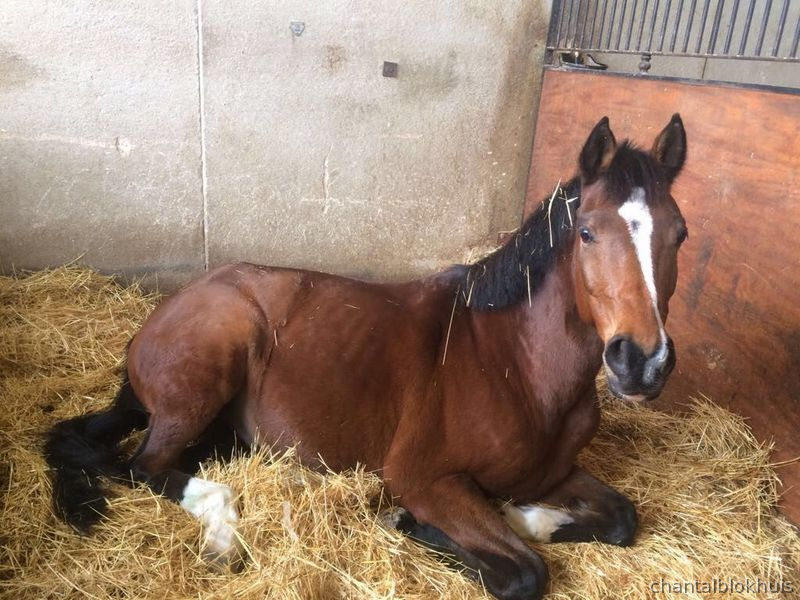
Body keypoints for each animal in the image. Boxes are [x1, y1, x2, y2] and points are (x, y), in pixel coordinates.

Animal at [45, 114, 688, 600]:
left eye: (678, 233)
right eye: (587, 233)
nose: (641, 362)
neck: (517, 367)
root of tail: (157, 322)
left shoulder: (554, 473)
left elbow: (623, 518)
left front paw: (527, 516)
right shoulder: (425, 478)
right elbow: (524, 573)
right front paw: (417, 522)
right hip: (206, 375)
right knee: (142, 467)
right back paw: (223, 529)